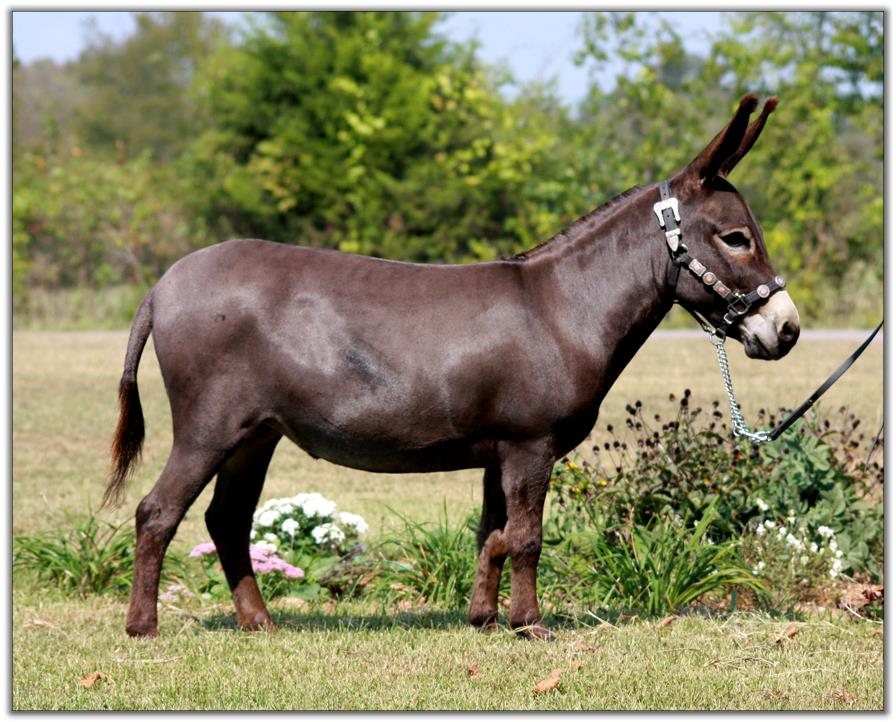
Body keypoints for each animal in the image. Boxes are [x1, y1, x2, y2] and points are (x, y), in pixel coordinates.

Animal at [106, 93, 800, 639]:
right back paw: (143, 628)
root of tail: (163, 285)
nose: (788, 329)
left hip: (256, 434)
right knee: (157, 513)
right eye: (736, 239)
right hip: (209, 427)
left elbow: (492, 534)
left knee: (226, 519)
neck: (563, 306)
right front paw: (532, 625)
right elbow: (527, 537)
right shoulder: (530, 444)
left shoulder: (501, 449)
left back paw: (259, 623)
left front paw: (485, 619)